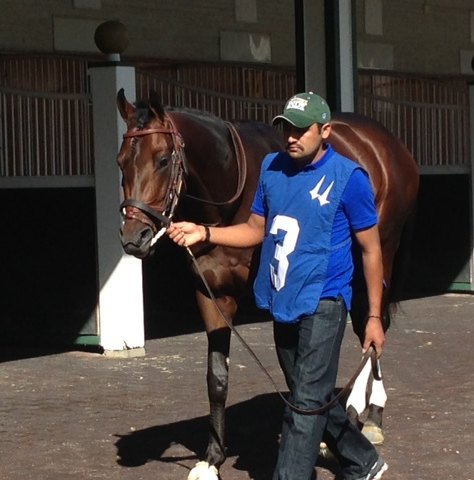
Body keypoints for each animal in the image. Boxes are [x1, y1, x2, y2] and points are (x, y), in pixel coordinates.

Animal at [115, 90, 418, 480]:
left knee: (373, 329)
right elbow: (217, 377)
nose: (133, 238)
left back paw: (367, 415)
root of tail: (387, 144)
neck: (233, 186)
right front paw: (211, 459)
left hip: (380, 257)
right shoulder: (212, 295)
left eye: (163, 159)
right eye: (121, 162)